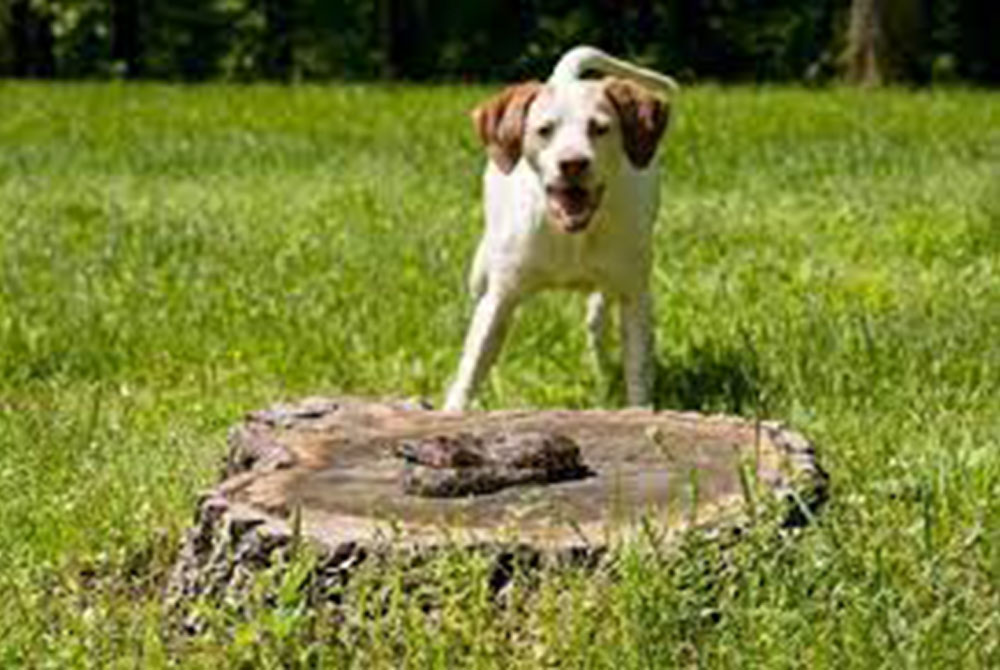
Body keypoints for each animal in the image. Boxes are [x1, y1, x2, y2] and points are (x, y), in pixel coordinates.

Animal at [446, 44, 680, 412]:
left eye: (599, 128)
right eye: (544, 130)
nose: (573, 163)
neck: (571, 234)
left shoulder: (635, 296)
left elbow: (639, 370)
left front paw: (640, 413)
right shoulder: (500, 296)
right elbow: (471, 366)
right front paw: (453, 412)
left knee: (596, 321)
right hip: (480, 271)